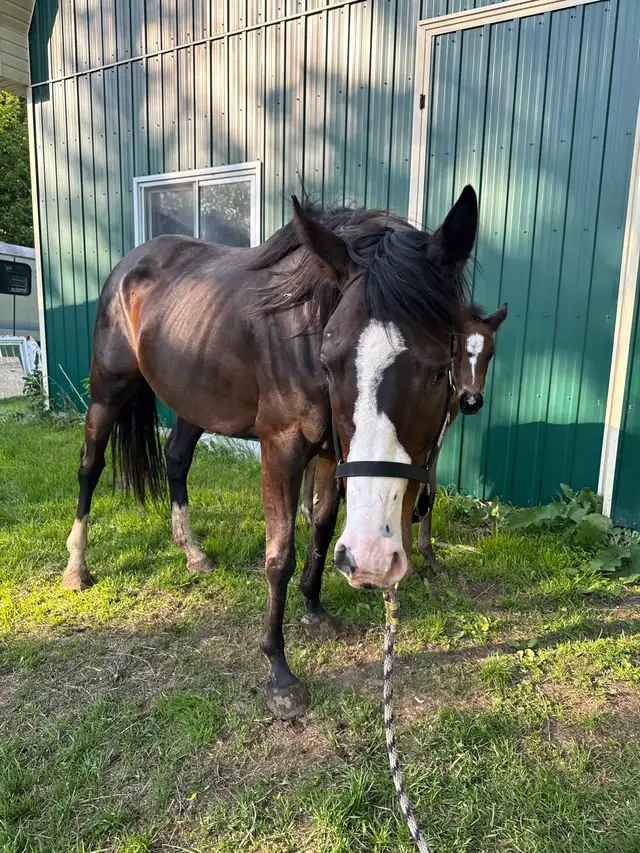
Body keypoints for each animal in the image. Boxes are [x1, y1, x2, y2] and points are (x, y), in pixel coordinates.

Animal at [62, 187, 478, 718]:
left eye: (438, 369)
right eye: (330, 362)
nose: (371, 559)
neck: (306, 323)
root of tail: (129, 264)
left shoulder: (331, 454)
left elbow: (321, 528)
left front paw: (315, 611)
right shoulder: (281, 447)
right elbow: (279, 554)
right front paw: (279, 671)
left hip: (195, 402)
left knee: (176, 459)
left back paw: (193, 553)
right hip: (107, 390)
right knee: (89, 466)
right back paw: (77, 568)